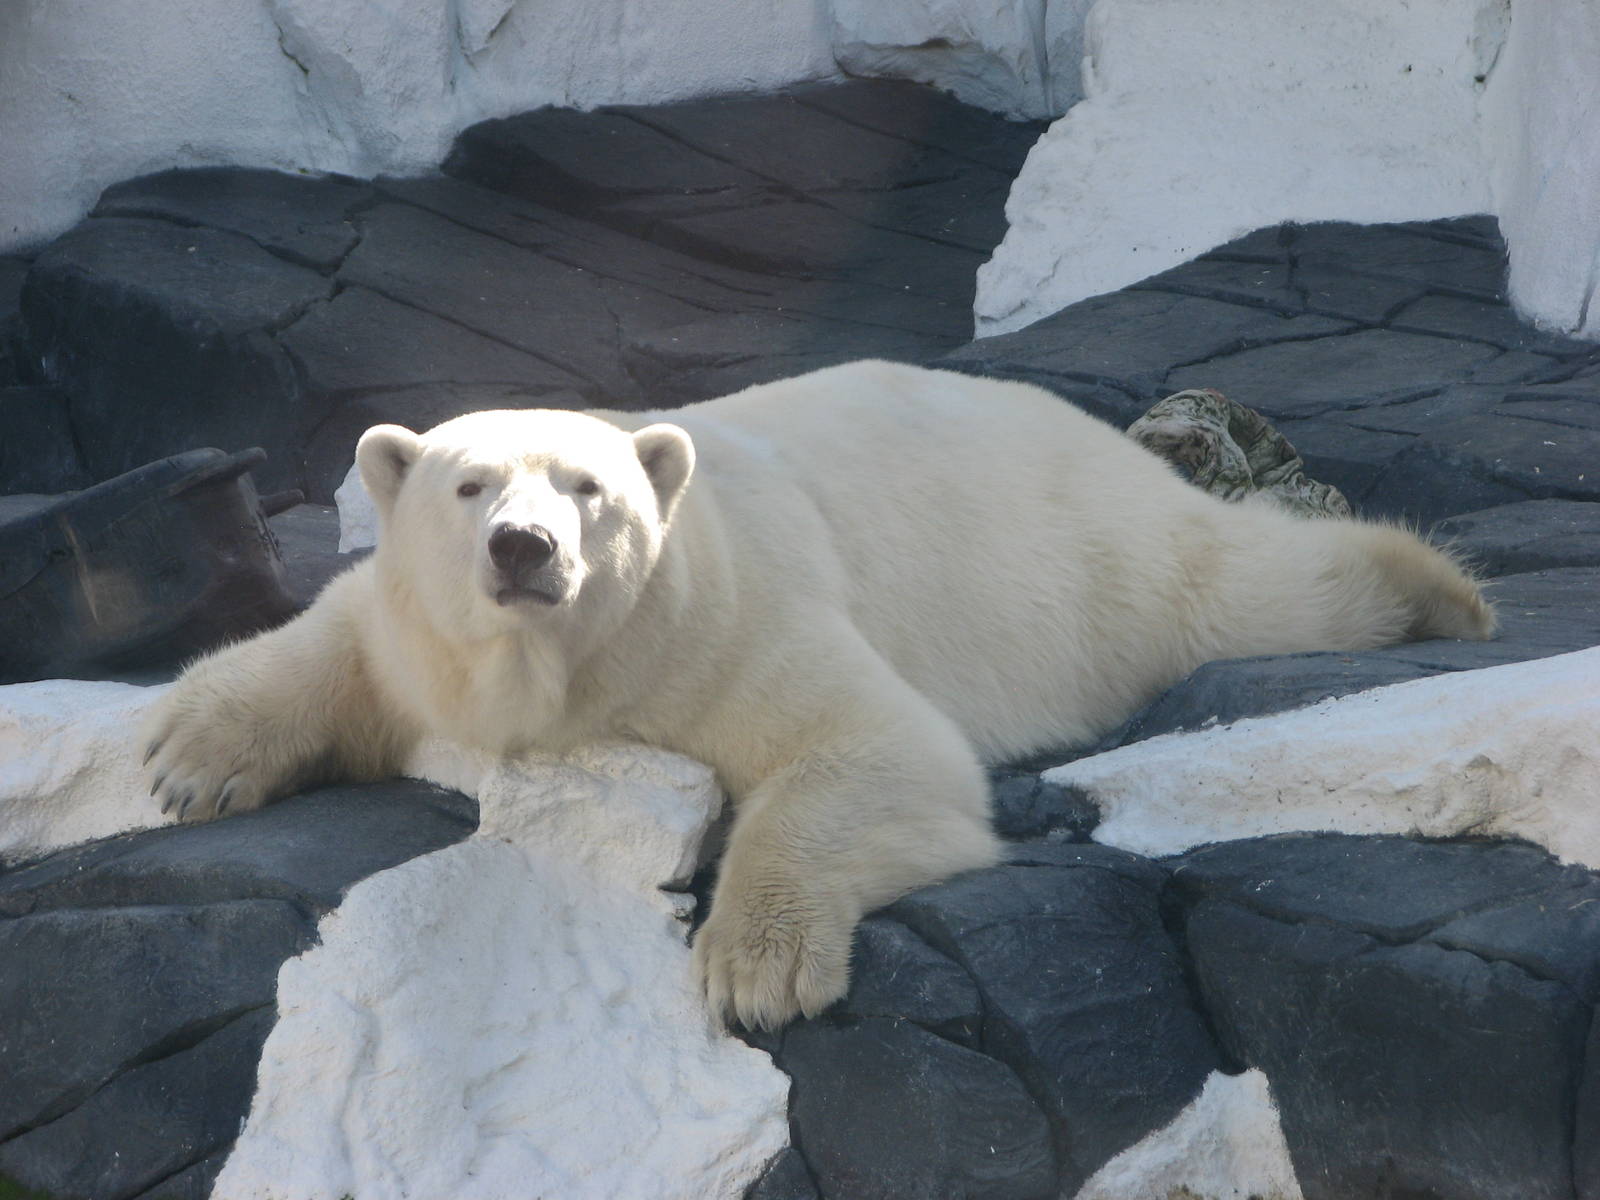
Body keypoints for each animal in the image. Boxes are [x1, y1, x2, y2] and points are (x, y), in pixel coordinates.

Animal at [142, 360, 1495, 1029]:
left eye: (585, 487)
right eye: (470, 486)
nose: (524, 548)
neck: (574, 666)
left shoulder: (720, 617)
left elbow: (874, 748)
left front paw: (757, 970)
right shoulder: (426, 628)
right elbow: (339, 639)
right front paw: (183, 758)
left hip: (1092, 557)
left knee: (1240, 588)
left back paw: (1436, 589)